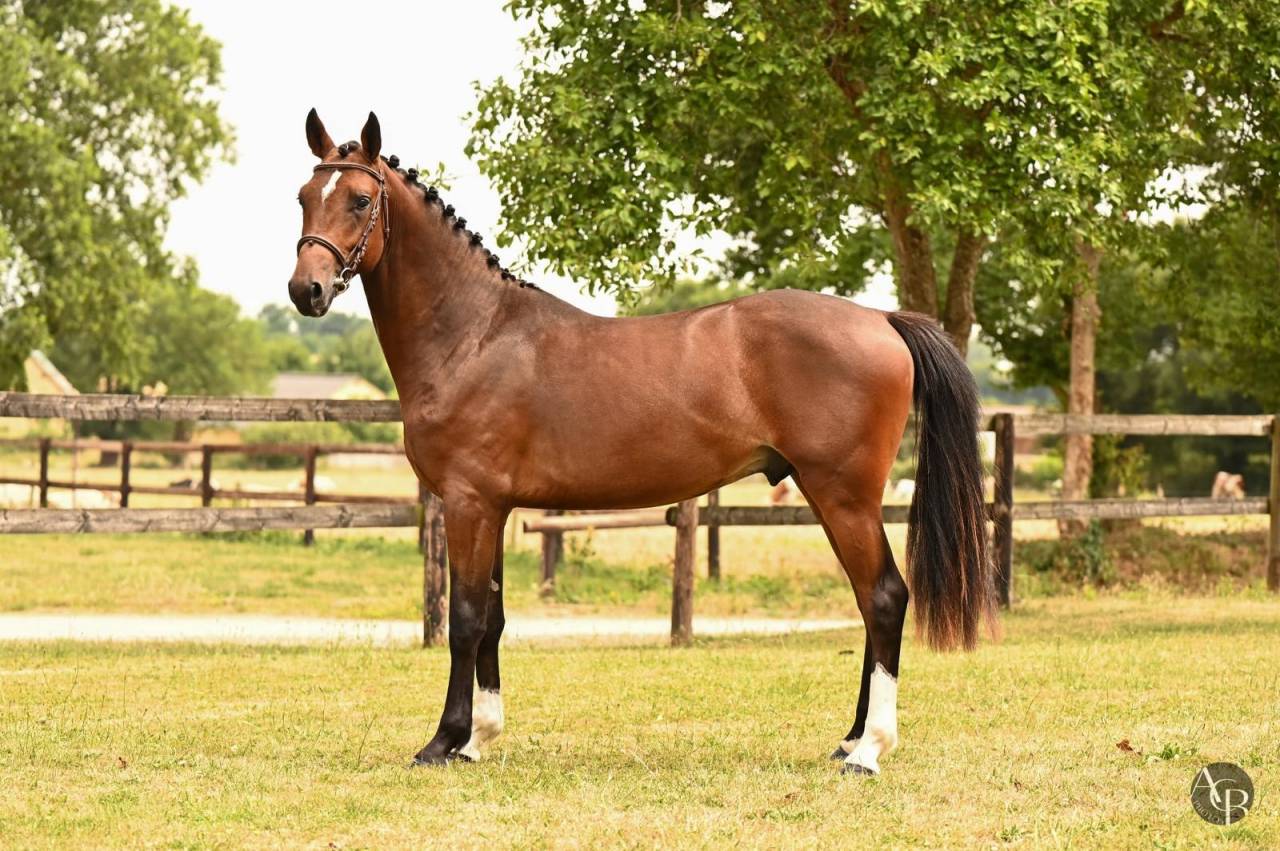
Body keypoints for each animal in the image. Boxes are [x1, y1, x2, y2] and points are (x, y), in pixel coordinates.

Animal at [287, 110, 996, 775]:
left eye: (360, 200)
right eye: (303, 195)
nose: (306, 290)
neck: (475, 336)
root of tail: (881, 318)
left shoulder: (467, 504)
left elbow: (463, 619)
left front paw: (443, 741)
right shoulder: (493, 507)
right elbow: (493, 618)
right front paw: (478, 740)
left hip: (845, 496)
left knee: (884, 598)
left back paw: (869, 751)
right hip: (827, 497)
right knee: (867, 602)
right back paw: (848, 738)